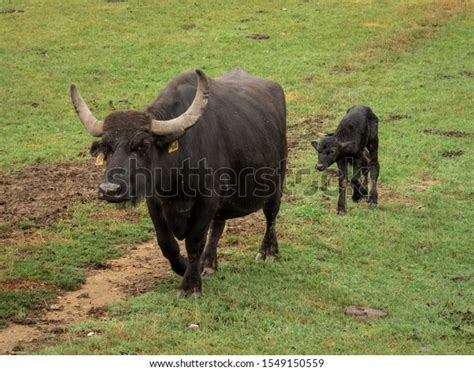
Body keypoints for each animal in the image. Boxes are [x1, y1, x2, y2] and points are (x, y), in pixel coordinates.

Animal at [69, 68, 286, 298]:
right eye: (107, 147)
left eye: (142, 145)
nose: (109, 190)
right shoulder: (155, 201)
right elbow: (166, 243)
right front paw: (185, 267)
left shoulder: (207, 200)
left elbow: (194, 241)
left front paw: (190, 285)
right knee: (218, 224)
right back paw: (209, 264)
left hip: (277, 181)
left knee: (271, 215)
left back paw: (267, 252)